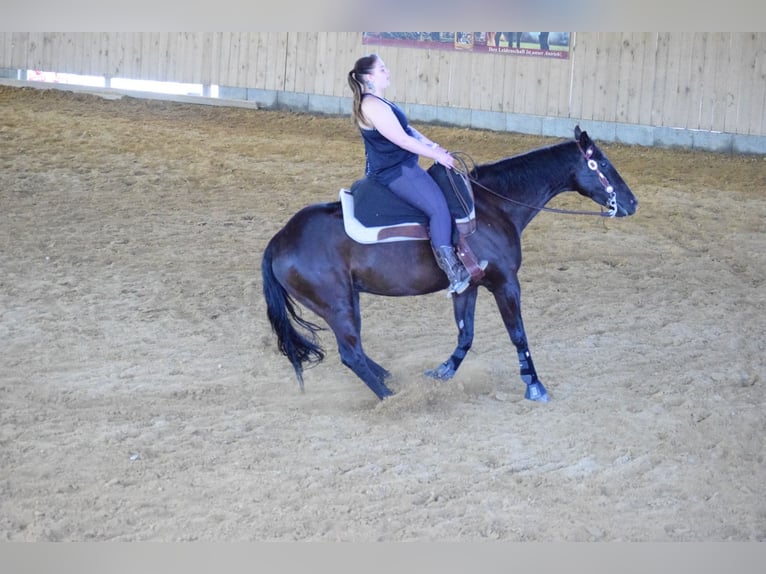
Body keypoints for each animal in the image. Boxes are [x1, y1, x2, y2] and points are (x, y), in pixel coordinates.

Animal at [260, 127, 640, 402]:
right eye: (604, 164)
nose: (633, 203)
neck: (491, 206)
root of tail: (279, 239)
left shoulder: (467, 286)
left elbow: (465, 335)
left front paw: (442, 372)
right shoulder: (505, 283)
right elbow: (518, 334)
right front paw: (535, 385)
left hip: (348, 300)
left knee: (358, 350)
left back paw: (390, 378)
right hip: (336, 305)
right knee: (351, 354)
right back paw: (392, 397)